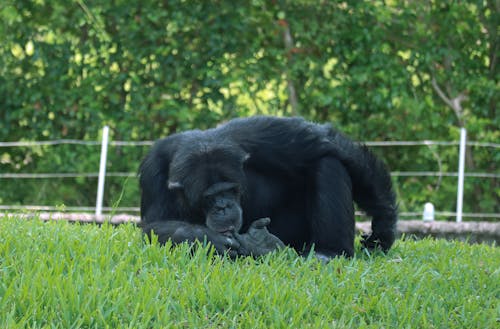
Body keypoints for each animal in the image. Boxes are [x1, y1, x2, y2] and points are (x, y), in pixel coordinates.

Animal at [139, 116, 396, 258]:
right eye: (208, 198)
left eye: (230, 190)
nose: (223, 206)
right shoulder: (153, 171)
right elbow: (152, 226)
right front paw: (208, 239)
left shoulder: (264, 135)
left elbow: (325, 142)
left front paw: (383, 225)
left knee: (328, 162)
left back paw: (328, 252)